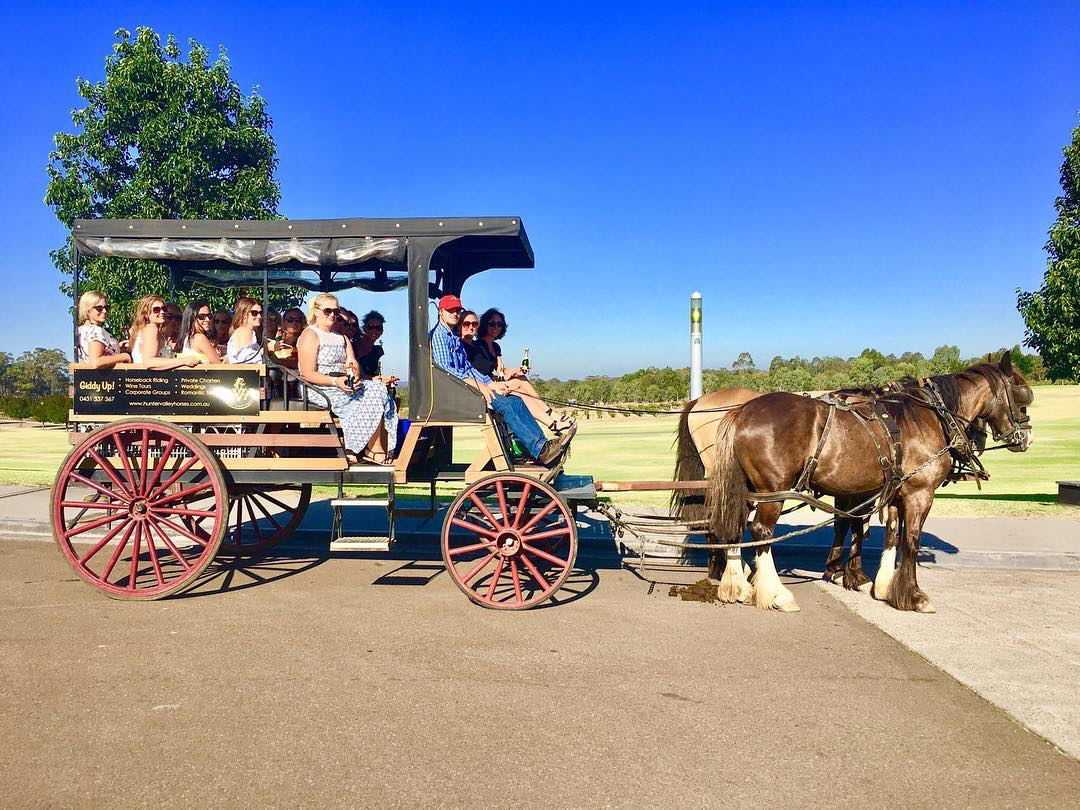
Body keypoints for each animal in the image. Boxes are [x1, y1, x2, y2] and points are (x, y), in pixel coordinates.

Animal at [669, 354, 1032, 613]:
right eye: (1023, 395)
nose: (1026, 437)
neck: (930, 414)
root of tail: (740, 411)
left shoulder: (885, 492)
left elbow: (882, 533)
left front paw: (875, 584)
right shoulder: (918, 492)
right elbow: (906, 539)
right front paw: (910, 595)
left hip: (743, 485)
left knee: (732, 523)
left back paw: (735, 582)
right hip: (772, 489)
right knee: (759, 532)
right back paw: (773, 592)